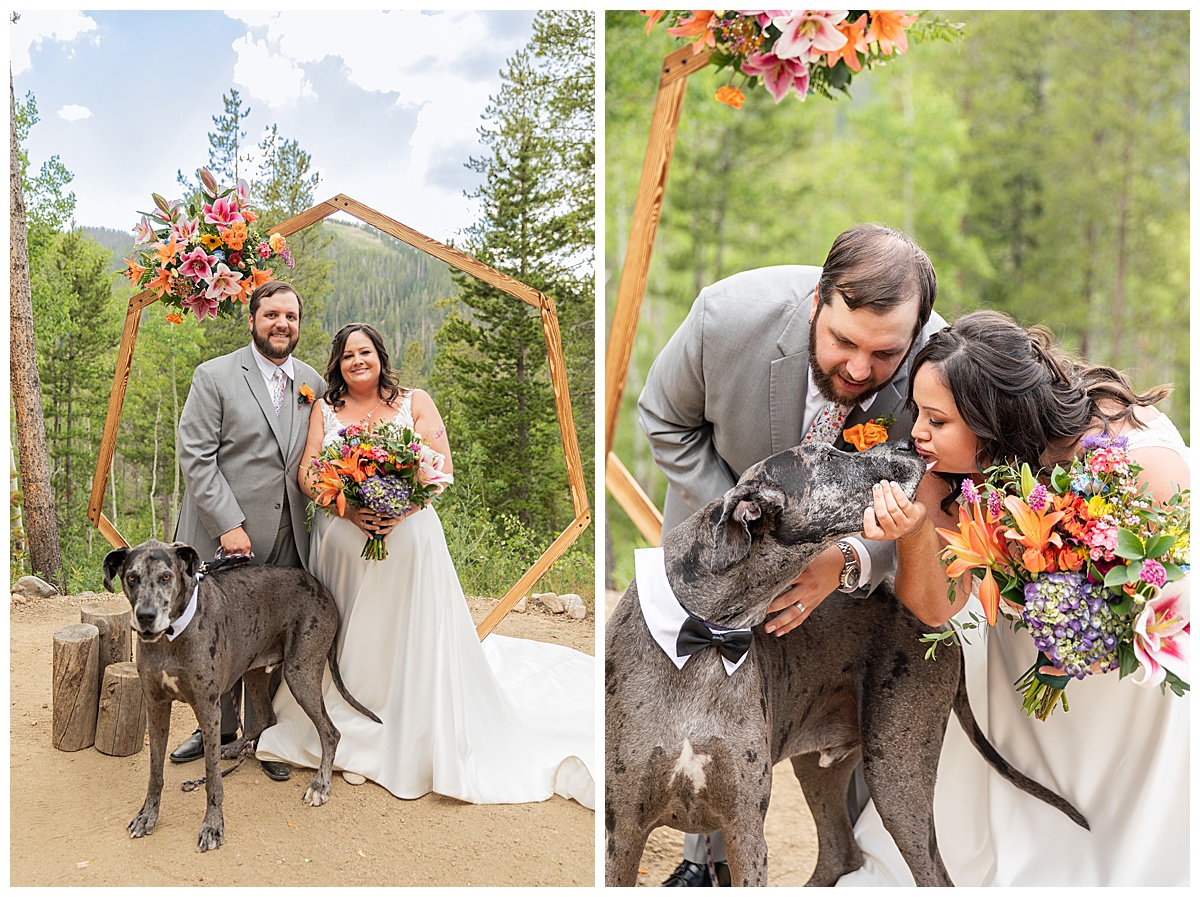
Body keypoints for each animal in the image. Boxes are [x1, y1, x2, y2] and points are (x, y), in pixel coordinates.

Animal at [108, 542, 381, 853]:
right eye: (131, 577)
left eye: (166, 577)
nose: (146, 616)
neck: (172, 636)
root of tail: (322, 587)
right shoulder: (156, 705)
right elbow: (155, 772)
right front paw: (147, 815)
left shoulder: (208, 709)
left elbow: (213, 780)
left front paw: (213, 826)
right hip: (254, 670)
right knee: (266, 716)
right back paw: (235, 747)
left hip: (300, 672)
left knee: (331, 732)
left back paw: (320, 785)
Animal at [604, 441, 1084, 882]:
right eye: (829, 458)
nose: (907, 442)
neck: (704, 638)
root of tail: (940, 627)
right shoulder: (623, 832)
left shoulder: (745, 831)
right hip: (824, 767)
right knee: (841, 851)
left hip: (895, 775)